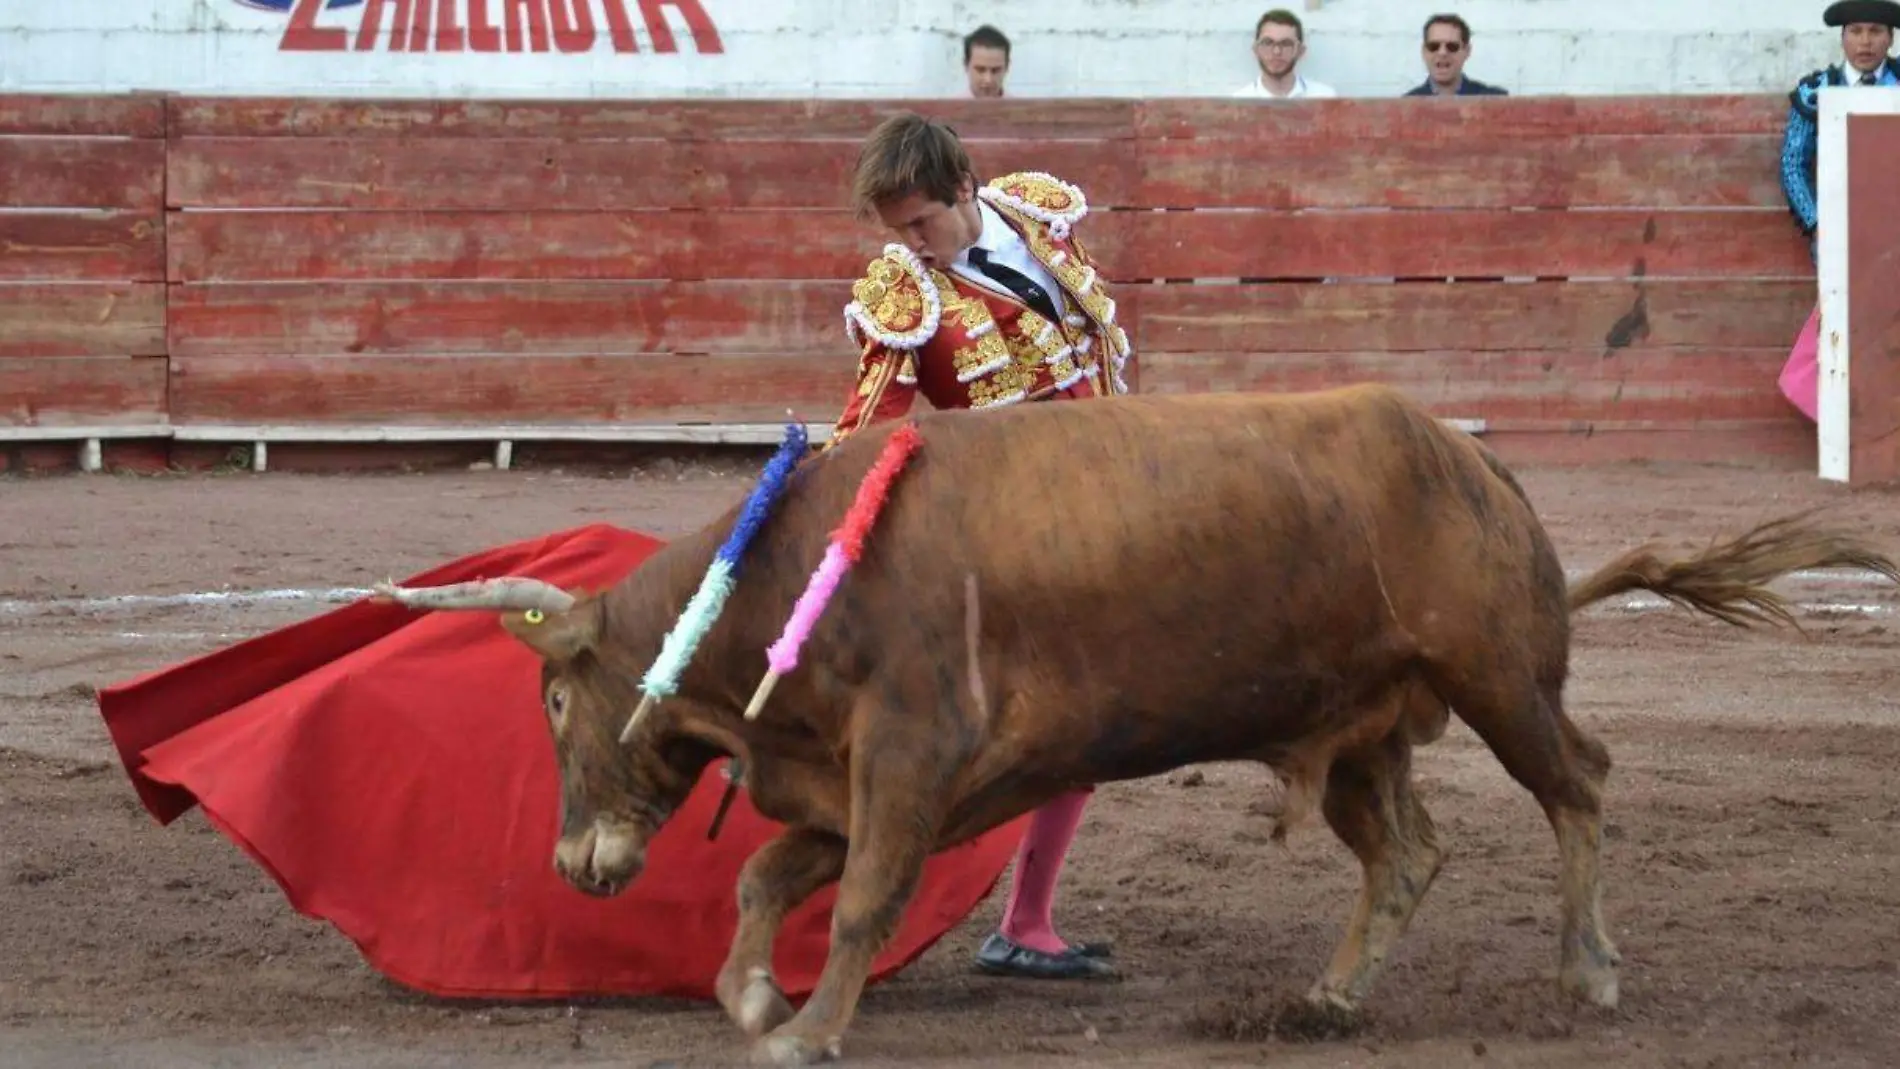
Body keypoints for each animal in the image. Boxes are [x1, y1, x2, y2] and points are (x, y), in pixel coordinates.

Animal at [370, 387, 1900, 1069]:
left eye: (551, 697)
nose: (575, 867)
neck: (787, 570)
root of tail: (1479, 463)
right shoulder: (884, 781)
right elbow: (766, 875)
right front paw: (754, 997)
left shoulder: (910, 758)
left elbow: (854, 900)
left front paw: (804, 1029)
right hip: (1360, 726)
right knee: (1405, 850)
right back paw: (1326, 998)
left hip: (1497, 674)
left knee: (1576, 780)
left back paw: (1587, 968)